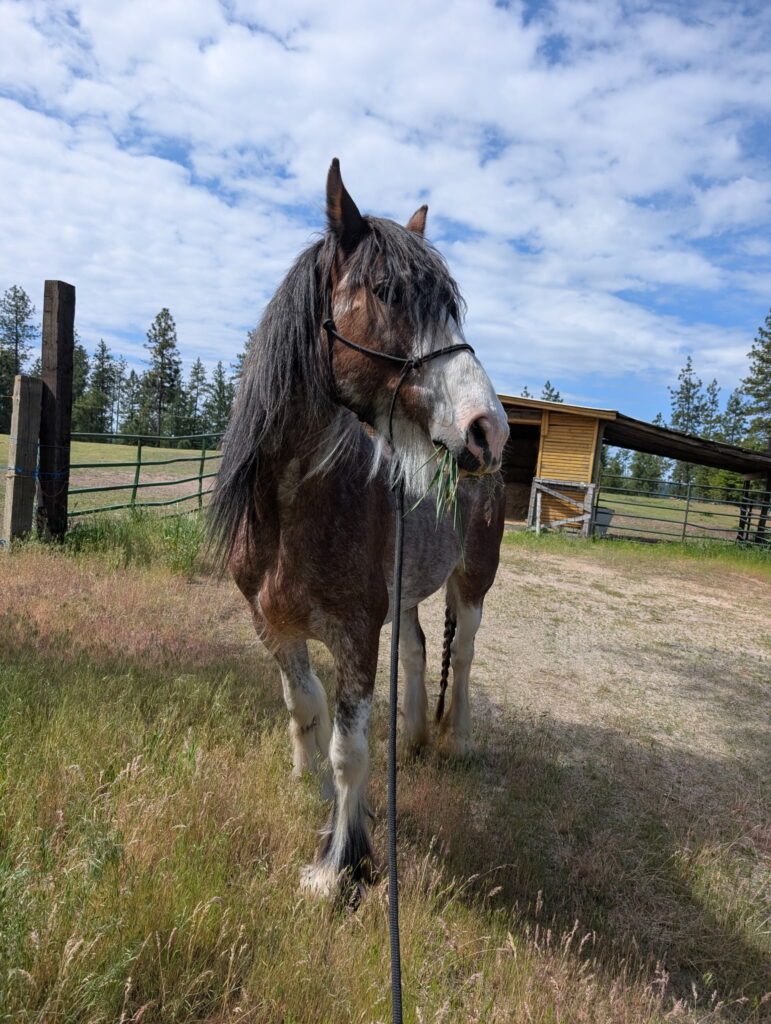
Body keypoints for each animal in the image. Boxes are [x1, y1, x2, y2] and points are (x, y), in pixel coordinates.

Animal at [209, 159, 509, 897]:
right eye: (386, 291)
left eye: (450, 304)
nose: (489, 430)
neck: (296, 507)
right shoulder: (274, 626)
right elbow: (305, 707)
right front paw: (311, 789)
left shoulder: (355, 634)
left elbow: (350, 747)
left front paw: (341, 863)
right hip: (404, 595)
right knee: (420, 650)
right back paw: (414, 740)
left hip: (474, 580)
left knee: (462, 656)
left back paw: (456, 740)